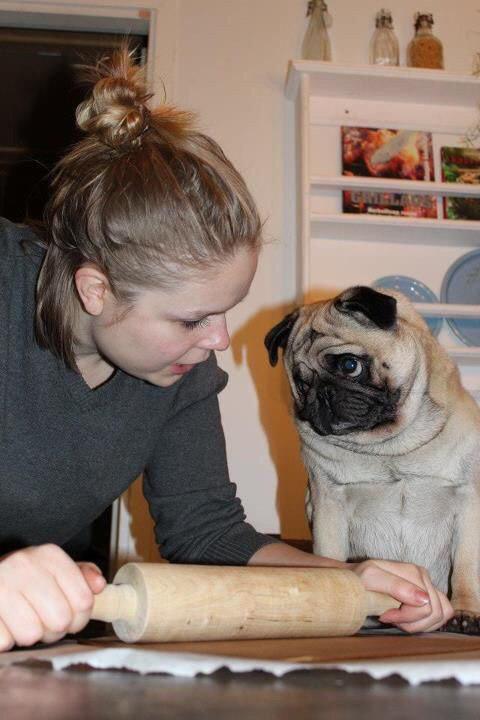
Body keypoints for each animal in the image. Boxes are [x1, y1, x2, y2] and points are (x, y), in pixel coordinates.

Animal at [264, 284, 480, 632]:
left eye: (349, 366)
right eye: (302, 383)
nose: (321, 393)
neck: (389, 446)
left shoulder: (468, 500)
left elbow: (466, 567)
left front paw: (465, 611)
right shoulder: (328, 502)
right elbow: (329, 555)